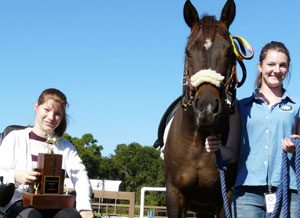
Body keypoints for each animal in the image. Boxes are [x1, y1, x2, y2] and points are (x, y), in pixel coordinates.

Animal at [163, 0, 238, 218]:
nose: (206, 109)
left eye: (229, 51)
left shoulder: (225, 198)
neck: (197, 142)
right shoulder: (174, 194)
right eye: (188, 51)